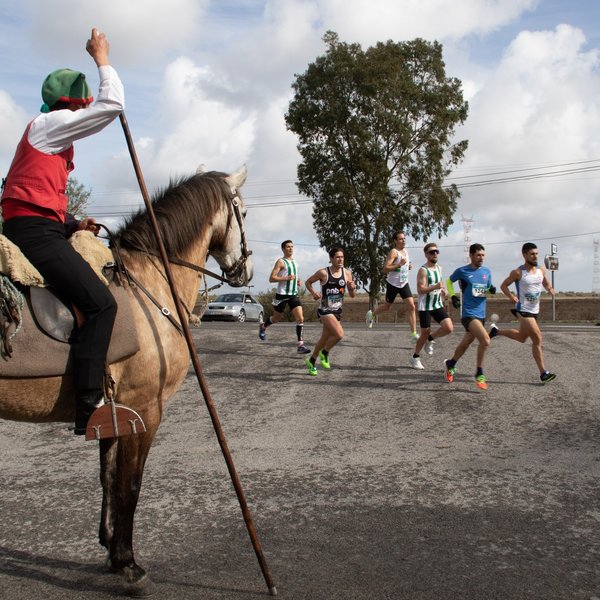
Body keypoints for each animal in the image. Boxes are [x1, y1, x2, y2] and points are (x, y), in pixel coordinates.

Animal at [0, 164, 253, 596]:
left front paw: (108, 545)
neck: (148, 282)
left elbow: (108, 476)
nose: (247, 271)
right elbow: (129, 485)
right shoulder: (144, 410)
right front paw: (127, 563)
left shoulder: (113, 411)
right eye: (245, 213)